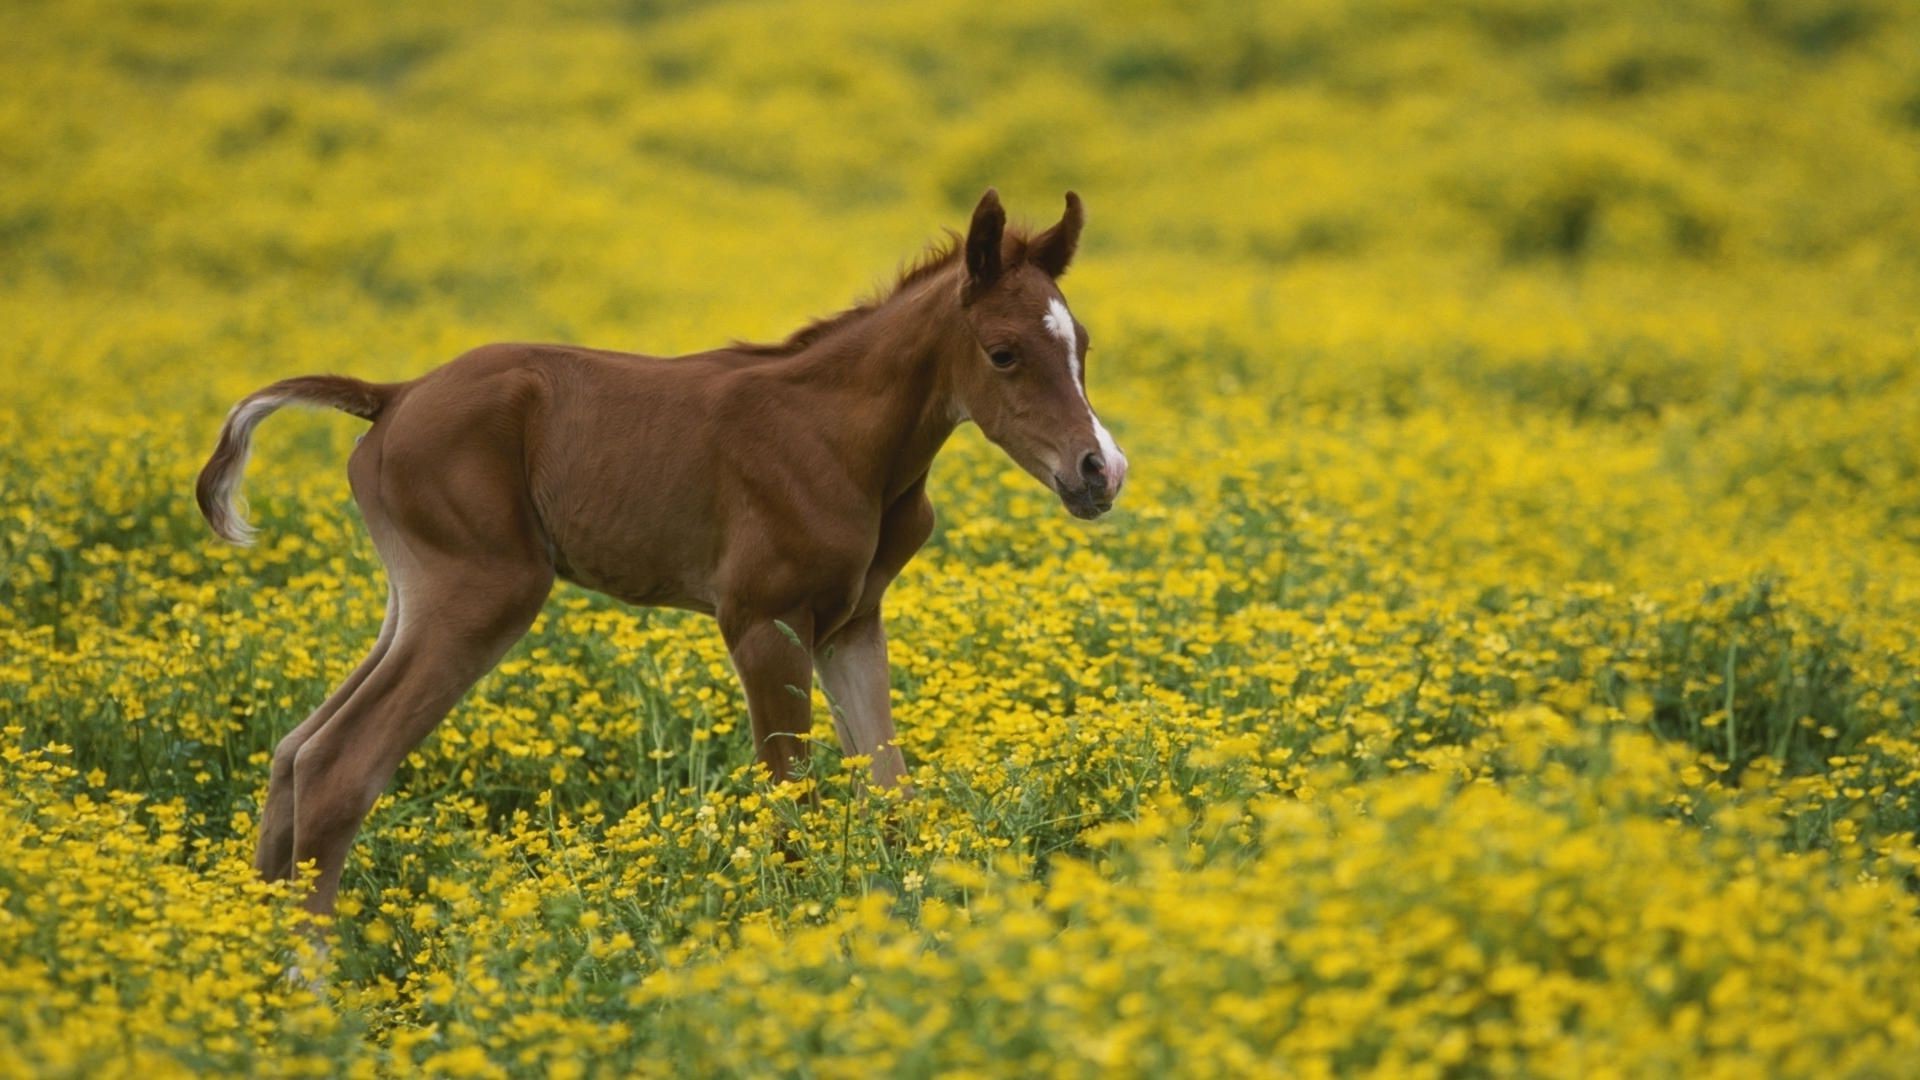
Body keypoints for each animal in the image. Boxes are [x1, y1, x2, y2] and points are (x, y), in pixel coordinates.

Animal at [194, 189, 1121, 910]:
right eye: (1003, 353)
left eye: (1081, 345)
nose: (1099, 471)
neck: (842, 438)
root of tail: (393, 396)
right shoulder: (762, 623)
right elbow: (790, 801)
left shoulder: (852, 625)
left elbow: (892, 789)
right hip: (483, 594)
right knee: (340, 764)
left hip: (412, 602)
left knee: (294, 750)